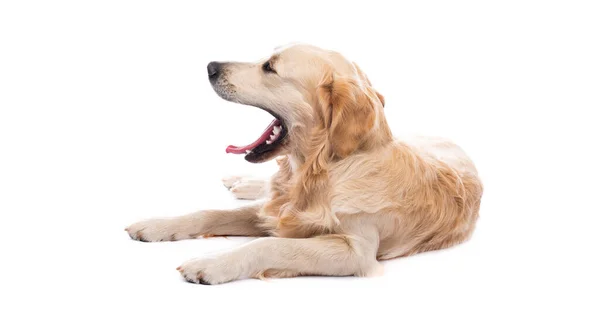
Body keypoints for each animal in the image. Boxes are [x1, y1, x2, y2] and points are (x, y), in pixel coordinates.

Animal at [125, 43, 482, 284]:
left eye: (269, 67)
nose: (211, 66)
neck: (319, 171)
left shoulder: (355, 250)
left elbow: (269, 244)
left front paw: (212, 263)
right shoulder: (276, 210)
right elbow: (209, 213)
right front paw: (156, 225)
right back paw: (241, 182)